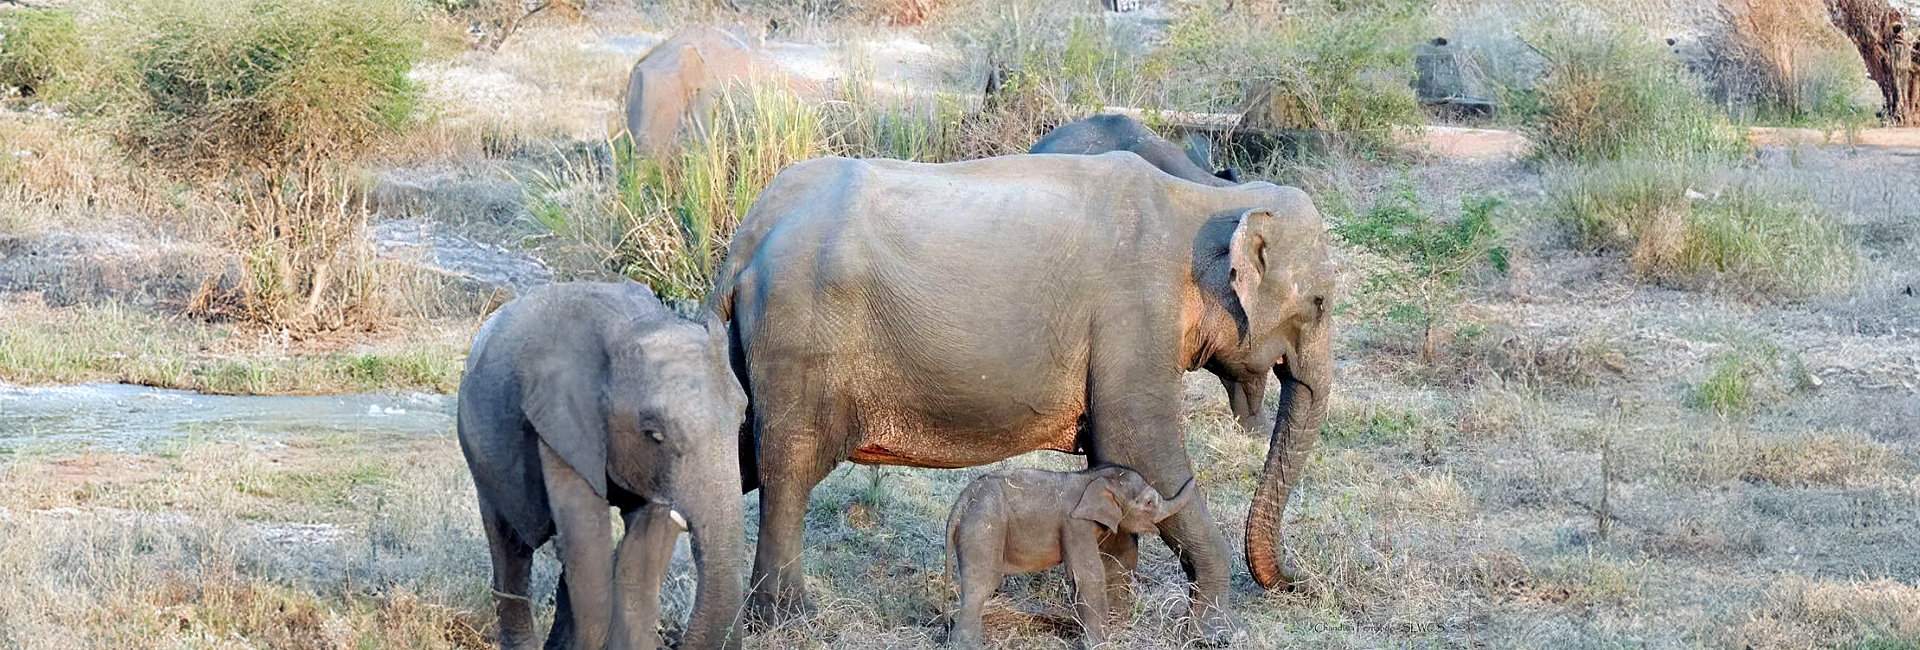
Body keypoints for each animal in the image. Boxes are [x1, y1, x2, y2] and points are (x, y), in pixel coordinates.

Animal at [458, 281, 749, 650]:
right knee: (511, 544)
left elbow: (641, 551)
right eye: (654, 434)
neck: (629, 325)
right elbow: (588, 546)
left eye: (743, 417)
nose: (674, 636)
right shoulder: (561, 425)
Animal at [945, 466, 1195, 649]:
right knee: (981, 583)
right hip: (984, 525)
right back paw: (965, 646)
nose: (1192, 477)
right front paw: (1098, 644)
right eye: (1149, 502)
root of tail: (962, 500)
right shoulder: (1075, 524)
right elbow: (1089, 572)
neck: (1093, 477)